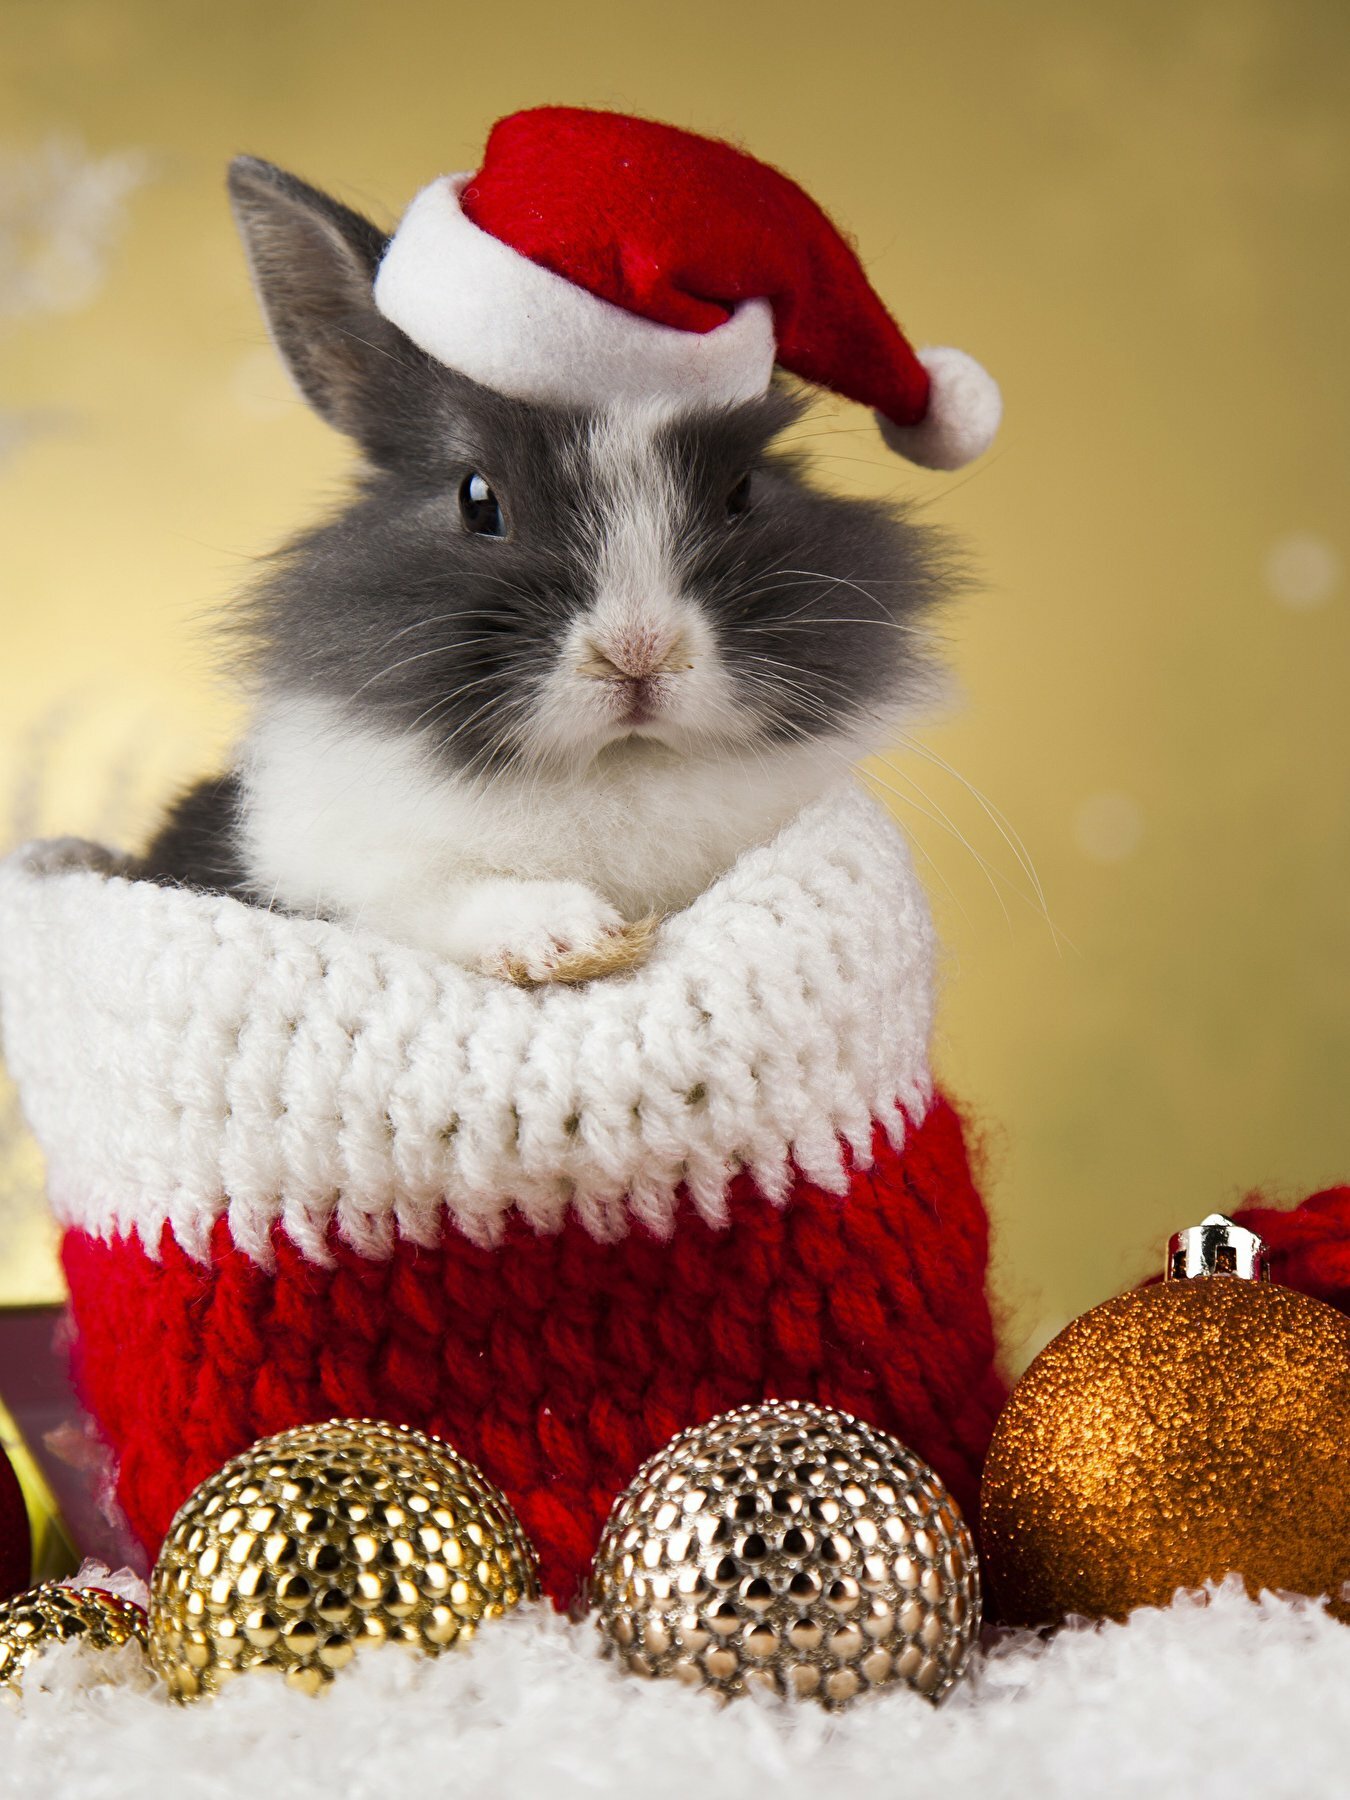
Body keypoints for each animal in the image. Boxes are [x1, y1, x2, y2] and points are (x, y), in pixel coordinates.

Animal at [140, 156, 959, 984]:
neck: (616, 765)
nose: (638, 651)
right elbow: (439, 896)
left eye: (743, 491)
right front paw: (571, 939)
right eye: (477, 499)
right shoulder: (341, 868)